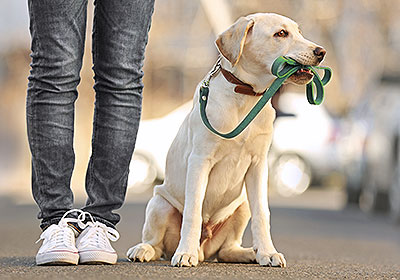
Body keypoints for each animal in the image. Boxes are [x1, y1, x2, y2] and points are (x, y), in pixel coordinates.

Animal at [127, 12, 324, 266]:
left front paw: (268, 252)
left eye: (299, 32)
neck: (246, 96)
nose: (321, 52)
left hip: (241, 205)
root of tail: (204, 250)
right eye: (281, 33)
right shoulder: (200, 160)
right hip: (159, 203)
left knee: (226, 250)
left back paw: (250, 253)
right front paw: (185, 253)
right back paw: (146, 250)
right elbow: (193, 211)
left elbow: (263, 213)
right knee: (157, 244)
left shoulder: (259, 165)